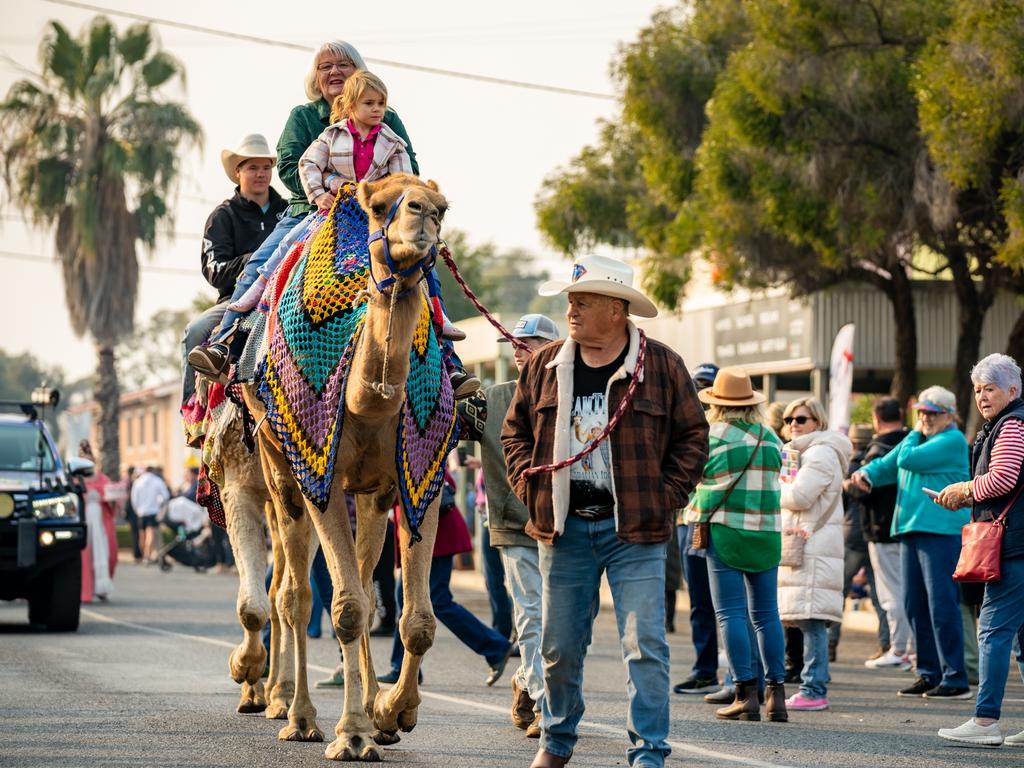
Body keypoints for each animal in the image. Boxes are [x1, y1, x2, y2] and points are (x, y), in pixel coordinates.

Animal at [239, 176, 452, 765]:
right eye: (378, 207)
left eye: (444, 208)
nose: (423, 216)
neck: (368, 399)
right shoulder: (323, 482)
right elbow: (348, 609)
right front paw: (352, 734)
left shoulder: (415, 480)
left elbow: (415, 619)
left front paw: (393, 714)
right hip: (280, 470)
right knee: (293, 596)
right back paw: (297, 715)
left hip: (368, 497)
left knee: (355, 580)